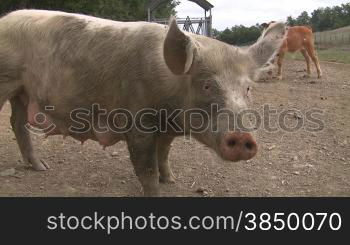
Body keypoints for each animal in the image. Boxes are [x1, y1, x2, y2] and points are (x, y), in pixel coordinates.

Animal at [0, 10, 284, 197]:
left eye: (247, 88)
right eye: (207, 85)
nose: (243, 137)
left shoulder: (167, 130)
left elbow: (165, 153)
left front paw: (171, 180)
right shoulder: (137, 122)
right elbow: (145, 167)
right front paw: (157, 190)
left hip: (22, 92)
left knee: (17, 122)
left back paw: (41, 168)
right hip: (7, 80)